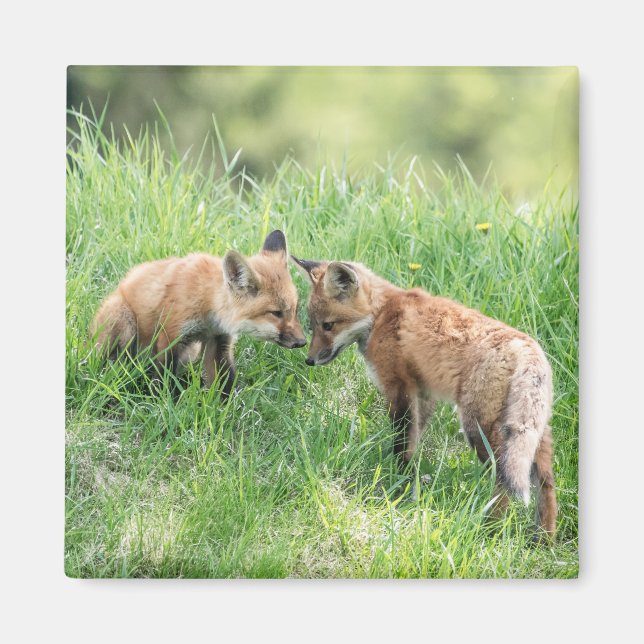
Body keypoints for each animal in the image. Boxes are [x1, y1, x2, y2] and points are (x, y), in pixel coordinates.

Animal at [91, 230, 306, 396]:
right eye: (276, 313)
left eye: (295, 310)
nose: (302, 342)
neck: (207, 302)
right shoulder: (171, 336)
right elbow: (164, 379)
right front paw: (164, 404)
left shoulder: (219, 340)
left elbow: (225, 382)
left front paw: (228, 409)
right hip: (124, 324)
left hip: (190, 352)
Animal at [293, 256, 557, 539]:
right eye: (312, 325)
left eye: (328, 325)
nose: (309, 360)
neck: (380, 315)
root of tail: (528, 348)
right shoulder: (424, 394)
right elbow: (413, 441)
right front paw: (409, 480)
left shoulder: (399, 387)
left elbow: (401, 441)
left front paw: (396, 482)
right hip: (532, 434)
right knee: (546, 483)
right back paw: (544, 539)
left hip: (478, 428)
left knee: (502, 478)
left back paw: (490, 529)